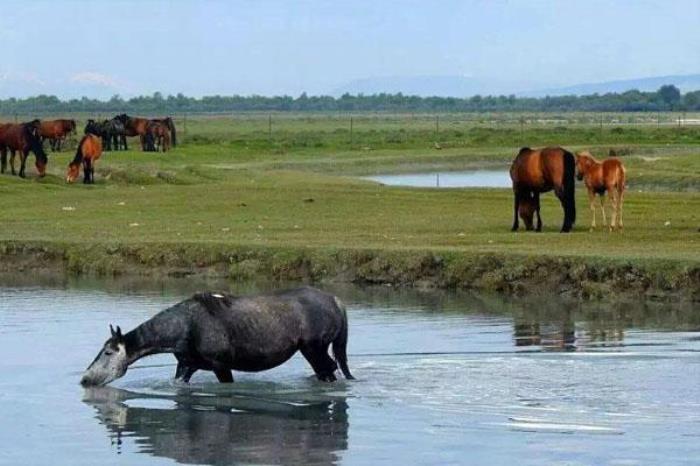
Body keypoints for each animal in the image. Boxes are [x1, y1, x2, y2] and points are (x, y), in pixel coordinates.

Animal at [80, 288, 356, 386]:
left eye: (108, 352)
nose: (85, 379)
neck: (184, 328)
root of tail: (336, 300)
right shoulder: (187, 366)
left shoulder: (221, 366)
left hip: (314, 349)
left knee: (330, 371)